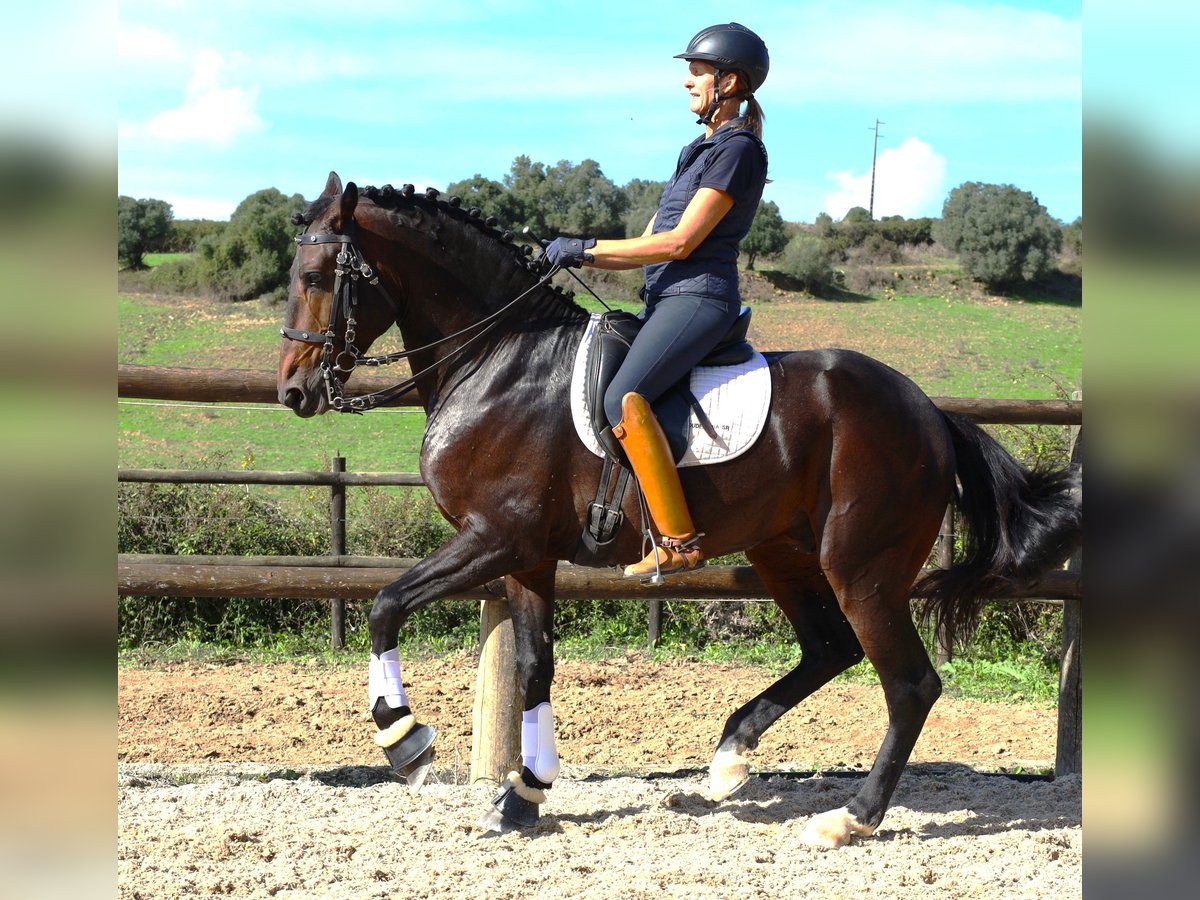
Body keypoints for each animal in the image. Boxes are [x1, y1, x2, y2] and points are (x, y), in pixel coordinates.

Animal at [276, 172, 1084, 849]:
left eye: (315, 279)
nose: (293, 392)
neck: (498, 359)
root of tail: (929, 413)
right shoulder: (527, 555)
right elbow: (535, 667)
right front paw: (524, 794)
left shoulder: (493, 539)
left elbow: (385, 604)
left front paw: (406, 742)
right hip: (781, 551)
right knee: (830, 649)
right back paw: (731, 755)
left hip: (862, 567)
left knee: (909, 684)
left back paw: (849, 819)